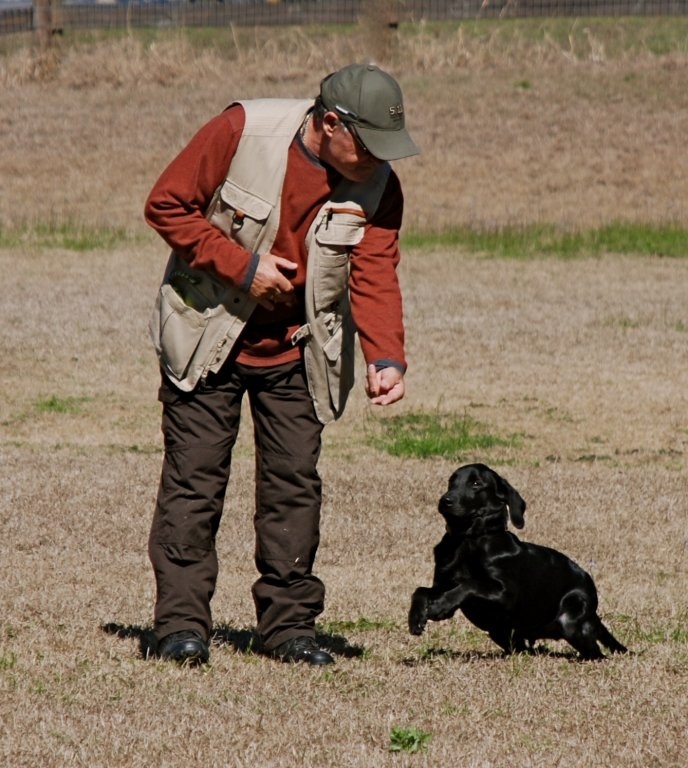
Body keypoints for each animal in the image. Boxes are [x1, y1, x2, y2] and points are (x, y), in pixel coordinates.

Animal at [408, 462, 628, 660]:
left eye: (476, 483)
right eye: (451, 482)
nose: (445, 500)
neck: (468, 541)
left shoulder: (506, 594)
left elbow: (471, 583)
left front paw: (440, 607)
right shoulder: (443, 584)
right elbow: (420, 590)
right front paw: (416, 618)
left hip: (570, 620)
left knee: (597, 654)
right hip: (501, 632)